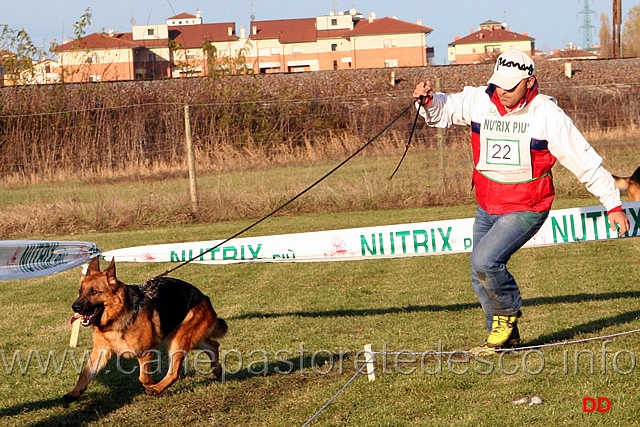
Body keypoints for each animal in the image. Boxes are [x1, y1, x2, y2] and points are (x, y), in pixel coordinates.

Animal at [63, 258, 228, 404]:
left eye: (94, 292)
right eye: (80, 291)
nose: (75, 307)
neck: (116, 318)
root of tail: (204, 297)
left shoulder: (145, 352)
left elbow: (143, 377)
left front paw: (151, 383)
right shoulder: (100, 352)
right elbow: (85, 374)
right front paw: (74, 393)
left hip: (178, 341)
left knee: (175, 373)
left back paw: (157, 388)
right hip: (184, 338)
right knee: (213, 345)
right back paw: (217, 370)